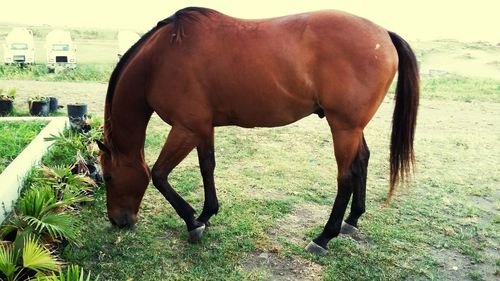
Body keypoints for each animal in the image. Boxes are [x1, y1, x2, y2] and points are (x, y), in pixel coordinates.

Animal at [96, 7, 418, 255]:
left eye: (108, 176)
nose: (118, 220)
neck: (160, 60)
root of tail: (384, 33)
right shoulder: (202, 128)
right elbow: (207, 167)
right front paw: (206, 214)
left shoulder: (185, 128)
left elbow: (159, 175)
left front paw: (192, 222)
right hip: (352, 127)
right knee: (362, 160)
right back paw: (352, 220)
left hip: (343, 127)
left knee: (346, 177)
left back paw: (324, 237)